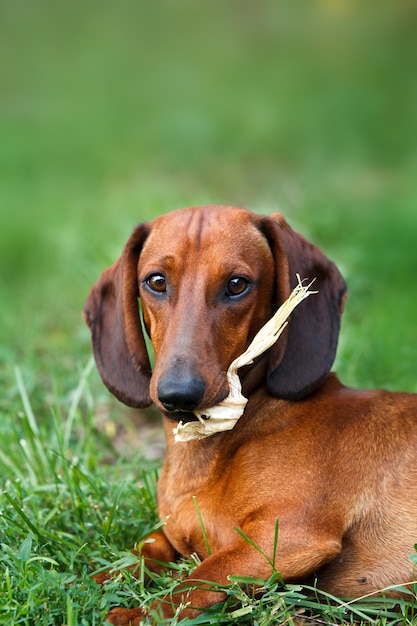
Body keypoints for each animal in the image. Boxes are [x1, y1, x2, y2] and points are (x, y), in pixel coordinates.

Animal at [84, 204, 416, 620]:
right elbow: (145, 548)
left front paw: (139, 615)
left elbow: (201, 577)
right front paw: (97, 580)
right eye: (156, 281)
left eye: (237, 284)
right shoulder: (173, 534)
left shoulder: (287, 536)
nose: (178, 394)